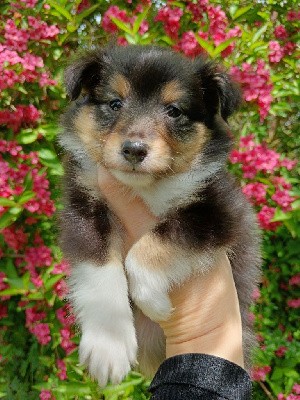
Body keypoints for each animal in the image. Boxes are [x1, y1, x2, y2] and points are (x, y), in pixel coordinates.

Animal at [58, 45, 260, 386]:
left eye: (174, 111)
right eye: (115, 103)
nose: (134, 149)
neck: (145, 188)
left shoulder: (219, 212)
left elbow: (153, 244)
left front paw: (155, 302)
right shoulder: (83, 209)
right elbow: (101, 268)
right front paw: (108, 347)